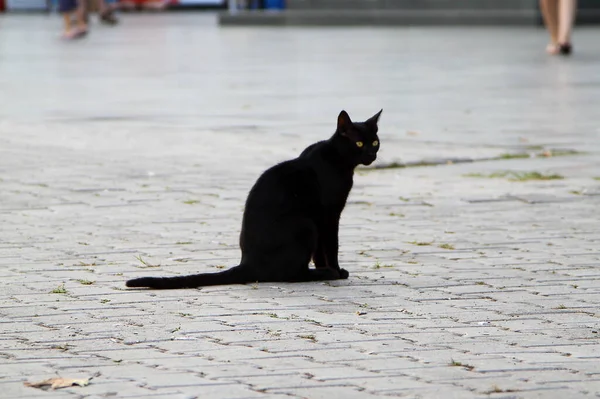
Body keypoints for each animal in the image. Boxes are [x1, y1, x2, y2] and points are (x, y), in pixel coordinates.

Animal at [125, 109, 382, 290]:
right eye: (359, 143)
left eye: (375, 142)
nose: (372, 154)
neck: (337, 159)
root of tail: (247, 263)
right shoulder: (328, 216)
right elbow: (331, 247)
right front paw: (336, 271)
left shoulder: (323, 218)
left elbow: (321, 252)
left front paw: (331, 269)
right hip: (305, 225)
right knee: (290, 275)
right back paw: (322, 275)